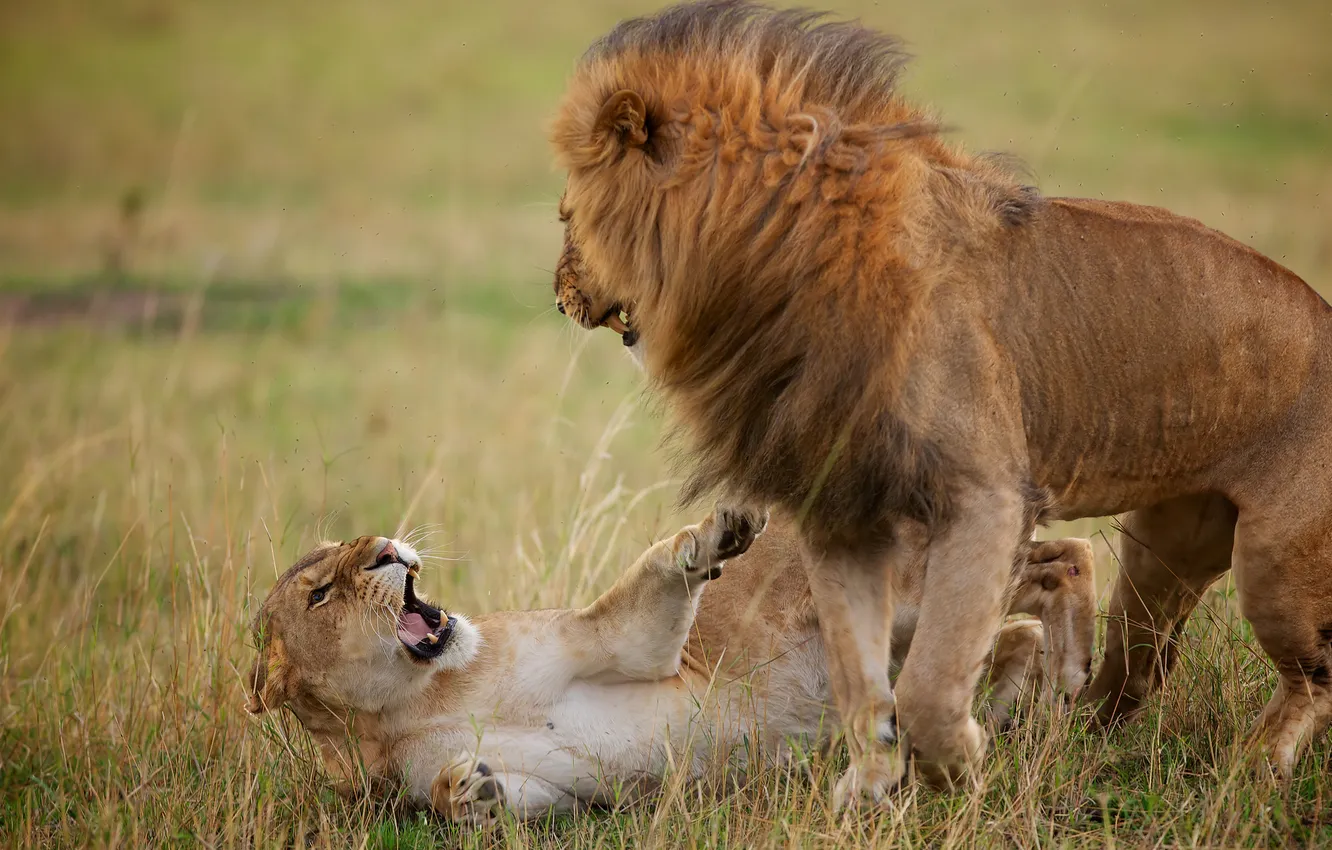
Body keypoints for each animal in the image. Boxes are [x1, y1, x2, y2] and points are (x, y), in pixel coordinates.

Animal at [247, 508, 1092, 820]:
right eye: (321, 591)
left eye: (353, 546)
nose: (389, 549)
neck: (415, 702)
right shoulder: (557, 794)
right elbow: (489, 797)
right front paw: (471, 789)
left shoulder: (614, 643)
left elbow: (660, 573)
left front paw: (716, 535)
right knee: (1023, 620)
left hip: (906, 587)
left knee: (1064, 557)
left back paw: (1076, 676)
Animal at [551, 0, 1332, 804]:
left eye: (566, 216)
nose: (559, 295)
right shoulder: (841, 508)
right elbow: (858, 675)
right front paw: (866, 788)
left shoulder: (988, 496)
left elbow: (929, 680)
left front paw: (957, 770)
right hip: (1162, 556)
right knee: (1138, 666)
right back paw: (1073, 718)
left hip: (1276, 567)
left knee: (1311, 676)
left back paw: (1255, 767)